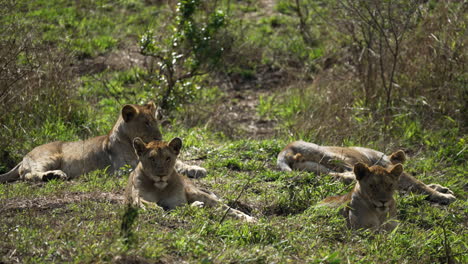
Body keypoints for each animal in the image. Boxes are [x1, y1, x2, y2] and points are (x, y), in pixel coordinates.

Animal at [0, 102, 206, 183]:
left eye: (156, 121)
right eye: (146, 123)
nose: (159, 137)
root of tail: (25, 155)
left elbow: (179, 163)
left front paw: (196, 169)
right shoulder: (120, 169)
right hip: (48, 157)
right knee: (28, 174)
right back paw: (55, 175)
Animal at [124, 138, 256, 223]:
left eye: (168, 158)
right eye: (152, 158)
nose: (161, 174)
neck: (159, 188)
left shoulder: (177, 202)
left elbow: (182, 208)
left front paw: (195, 206)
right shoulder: (137, 196)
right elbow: (145, 202)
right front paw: (155, 208)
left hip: (197, 193)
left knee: (228, 209)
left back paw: (249, 219)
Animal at [276, 140, 456, 204]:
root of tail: (286, 149)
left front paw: (441, 188)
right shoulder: (390, 169)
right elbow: (419, 184)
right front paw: (444, 196)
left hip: (317, 168)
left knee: (336, 176)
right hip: (337, 157)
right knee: (349, 175)